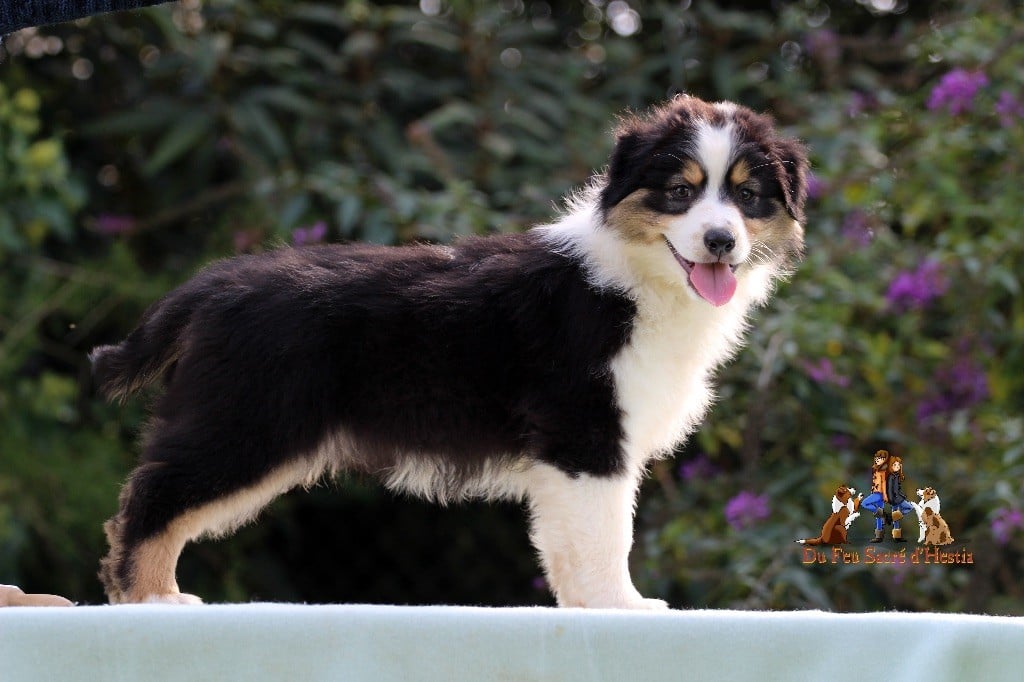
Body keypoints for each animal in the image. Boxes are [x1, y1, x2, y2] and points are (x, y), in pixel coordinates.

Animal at [91, 96, 808, 608]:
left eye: (747, 196)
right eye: (680, 191)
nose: (720, 241)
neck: (634, 279)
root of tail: (212, 285)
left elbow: (571, 540)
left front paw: (591, 607)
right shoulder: (586, 430)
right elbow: (606, 534)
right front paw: (623, 608)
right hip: (247, 420)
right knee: (153, 494)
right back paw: (152, 598)